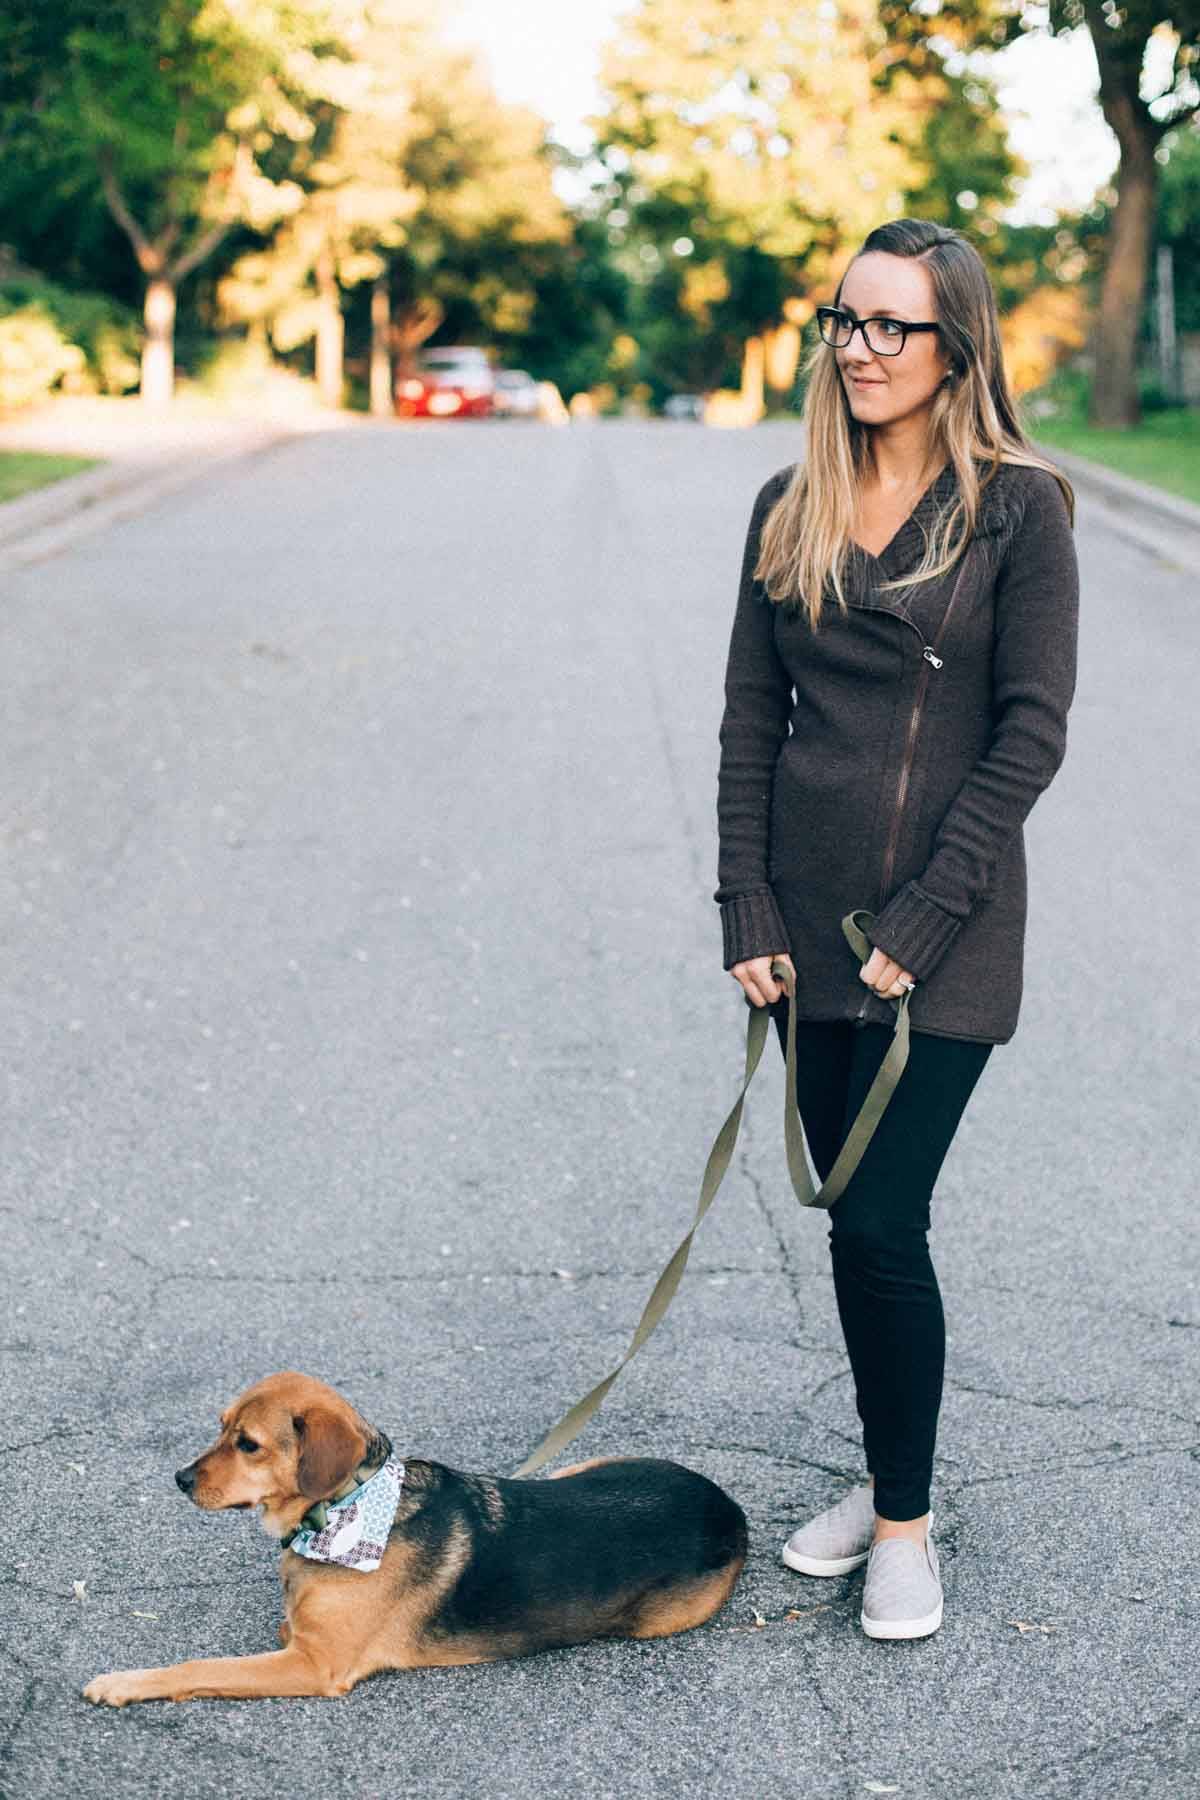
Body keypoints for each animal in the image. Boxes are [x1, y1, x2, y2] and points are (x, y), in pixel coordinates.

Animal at [82, 1368, 752, 1706]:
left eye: (248, 1444)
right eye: (221, 1428)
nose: (179, 1479)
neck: (346, 1508)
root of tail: (731, 1509)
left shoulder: (315, 1665)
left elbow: (199, 1665)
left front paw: (123, 1683)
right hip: (578, 1468)